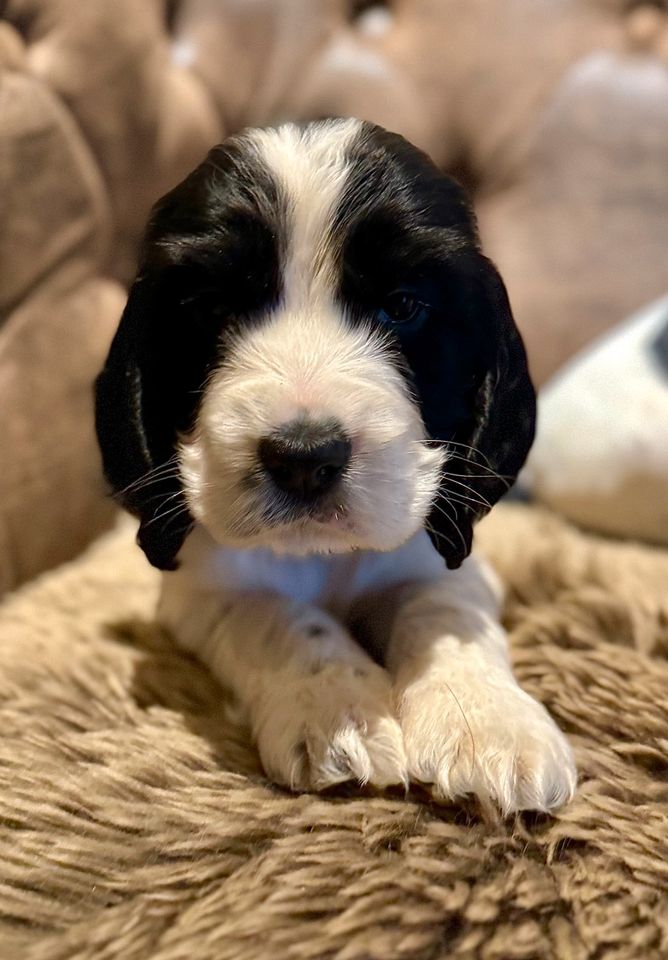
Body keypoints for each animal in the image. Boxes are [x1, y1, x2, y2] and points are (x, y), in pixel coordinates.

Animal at [96, 116, 576, 812]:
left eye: (401, 306)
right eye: (212, 309)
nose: (303, 458)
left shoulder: (440, 549)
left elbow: (443, 607)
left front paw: (489, 724)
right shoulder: (201, 587)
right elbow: (277, 616)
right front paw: (336, 712)